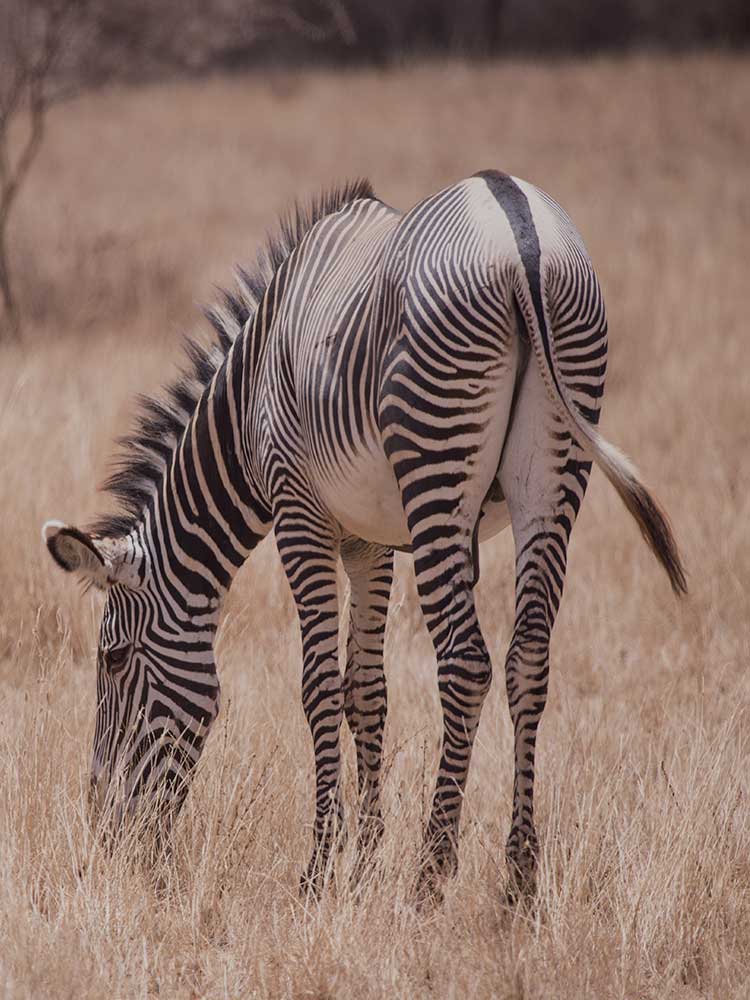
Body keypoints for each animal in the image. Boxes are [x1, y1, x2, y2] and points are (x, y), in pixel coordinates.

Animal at [43, 172, 685, 899]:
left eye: (112, 658)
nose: (106, 837)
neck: (248, 394)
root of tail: (516, 219)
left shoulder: (301, 515)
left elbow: (319, 686)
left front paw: (322, 866)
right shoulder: (370, 543)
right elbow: (367, 690)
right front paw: (366, 860)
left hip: (437, 459)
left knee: (466, 663)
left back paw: (431, 874)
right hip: (554, 471)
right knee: (528, 660)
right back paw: (519, 877)